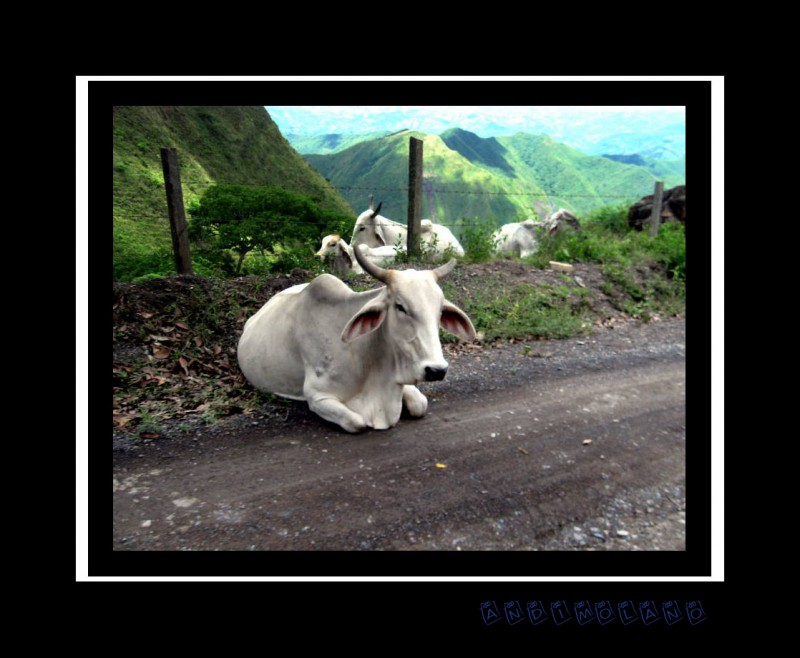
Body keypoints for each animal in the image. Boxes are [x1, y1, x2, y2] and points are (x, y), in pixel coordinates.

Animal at [238, 243, 476, 434]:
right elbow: (357, 422)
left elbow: (420, 404)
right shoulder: (317, 396)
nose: (437, 370)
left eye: (440, 311)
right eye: (400, 306)